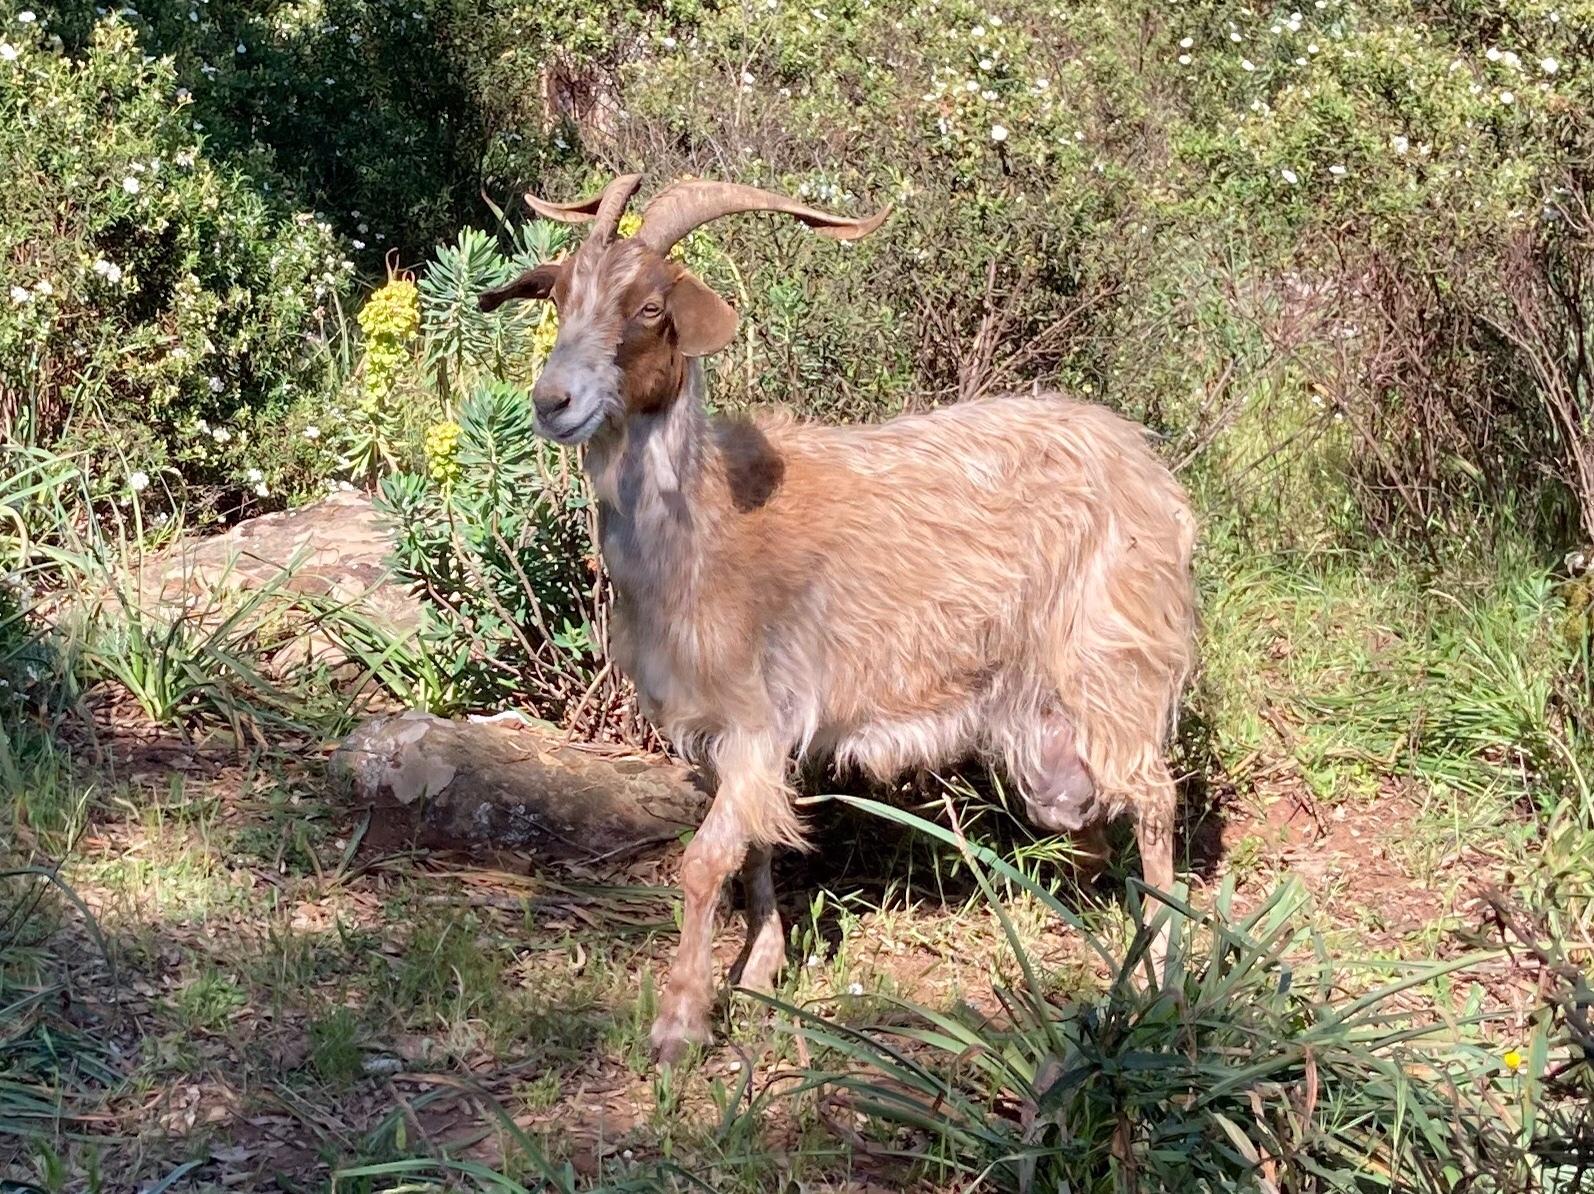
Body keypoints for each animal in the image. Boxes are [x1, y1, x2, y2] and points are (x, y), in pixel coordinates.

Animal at [478, 174, 1198, 1062]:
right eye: (560, 299)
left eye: (649, 306)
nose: (553, 401)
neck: (708, 526)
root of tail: (1146, 462)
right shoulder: (722, 731)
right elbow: (753, 846)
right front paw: (759, 969)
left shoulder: (759, 714)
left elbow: (704, 863)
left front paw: (680, 1020)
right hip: (1043, 734)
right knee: (1088, 809)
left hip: (1113, 656)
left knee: (1155, 798)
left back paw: (1163, 968)